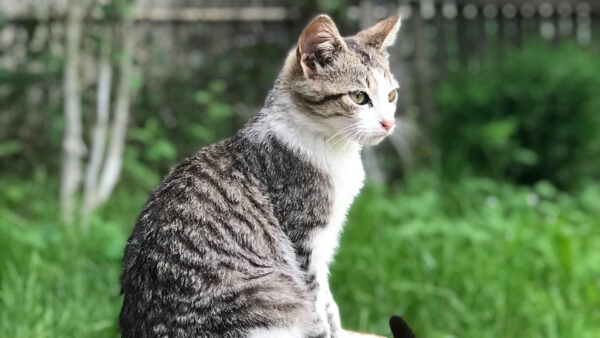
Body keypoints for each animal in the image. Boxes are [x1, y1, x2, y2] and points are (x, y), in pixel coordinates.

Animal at [119, 13, 400, 338]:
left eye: (391, 95)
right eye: (358, 96)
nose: (388, 123)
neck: (333, 147)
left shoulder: (327, 239)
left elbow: (329, 301)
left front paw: (337, 327)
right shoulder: (302, 239)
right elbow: (316, 301)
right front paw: (325, 330)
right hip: (274, 290)